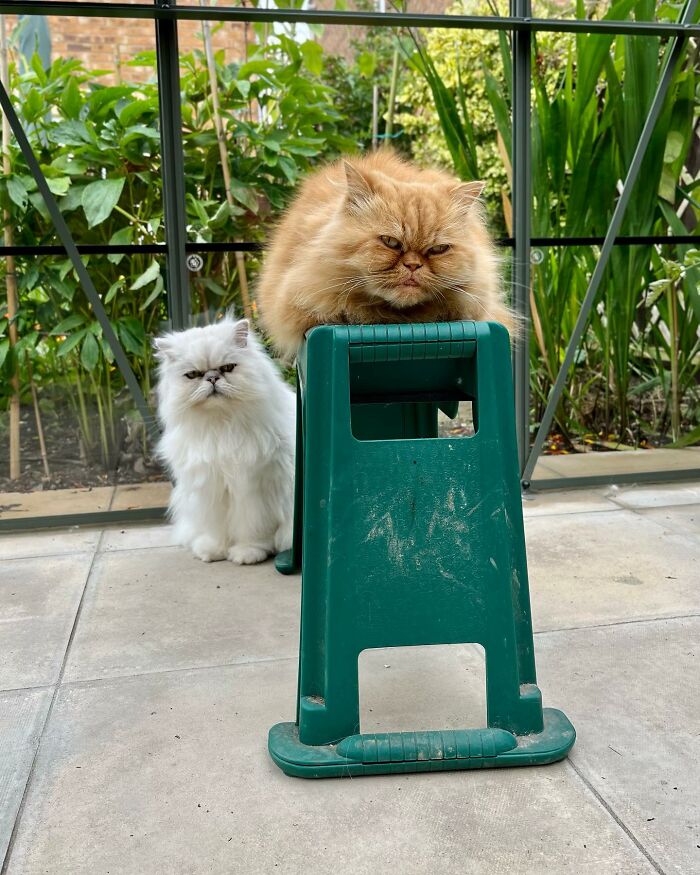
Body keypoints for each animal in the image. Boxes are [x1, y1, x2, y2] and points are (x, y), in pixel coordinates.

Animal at [153, 318, 296, 564]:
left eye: (227, 368)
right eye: (193, 374)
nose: (211, 378)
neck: (220, 425)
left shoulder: (253, 489)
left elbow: (253, 528)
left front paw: (248, 553)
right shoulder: (211, 488)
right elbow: (217, 529)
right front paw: (213, 551)